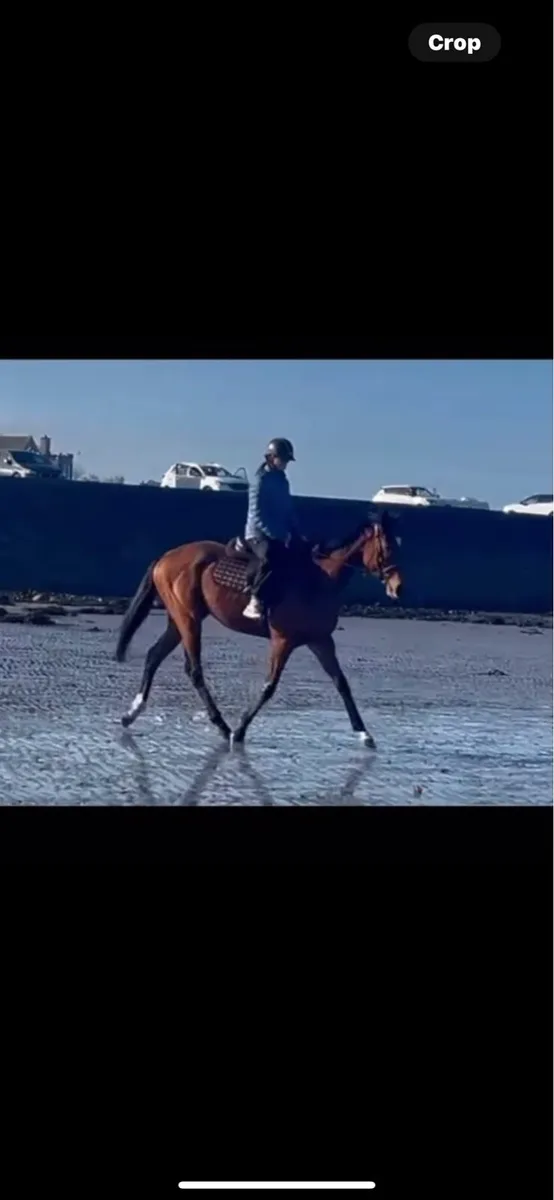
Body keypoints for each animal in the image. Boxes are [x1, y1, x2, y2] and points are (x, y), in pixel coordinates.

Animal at [114, 510, 403, 747]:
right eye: (387, 546)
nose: (398, 587)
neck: (317, 580)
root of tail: (166, 557)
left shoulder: (321, 640)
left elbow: (341, 683)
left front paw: (364, 733)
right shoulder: (283, 640)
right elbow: (269, 687)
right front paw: (240, 731)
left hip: (180, 619)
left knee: (154, 656)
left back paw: (131, 713)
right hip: (189, 620)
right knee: (194, 670)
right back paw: (222, 726)